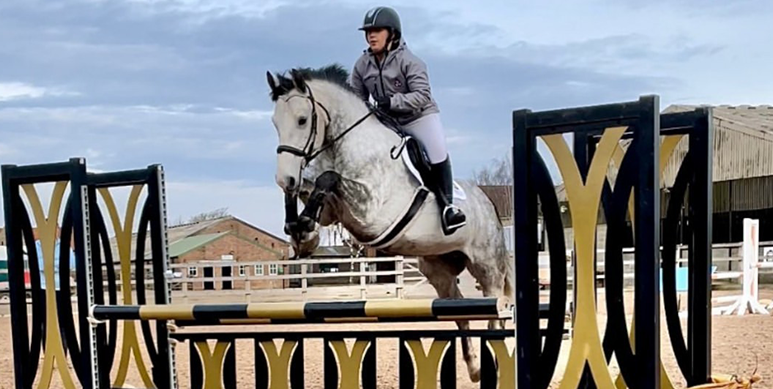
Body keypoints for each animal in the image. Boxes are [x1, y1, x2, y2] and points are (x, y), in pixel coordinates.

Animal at [266, 64, 512, 382]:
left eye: (302, 119)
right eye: (275, 123)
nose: (284, 178)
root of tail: (488, 203)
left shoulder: (371, 213)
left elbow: (327, 178)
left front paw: (304, 225)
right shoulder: (334, 209)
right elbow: (313, 189)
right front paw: (301, 232)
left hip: (487, 266)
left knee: (496, 310)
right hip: (440, 270)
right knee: (461, 312)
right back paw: (475, 368)